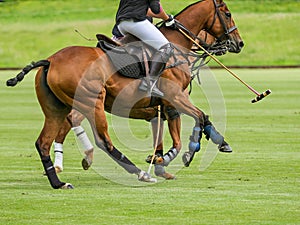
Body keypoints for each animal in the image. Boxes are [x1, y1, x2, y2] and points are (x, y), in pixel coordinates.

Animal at [6, 0, 244, 189]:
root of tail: (50, 61)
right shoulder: (175, 98)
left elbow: (175, 135)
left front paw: (162, 162)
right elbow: (199, 119)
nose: (238, 43)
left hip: (56, 107)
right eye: (227, 13)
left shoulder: (164, 107)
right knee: (102, 140)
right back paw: (138, 173)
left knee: (44, 142)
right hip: (92, 101)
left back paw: (59, 182)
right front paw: (193, 151)